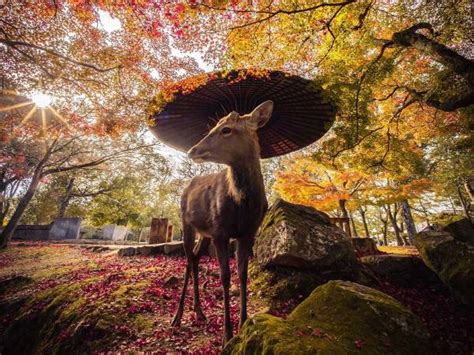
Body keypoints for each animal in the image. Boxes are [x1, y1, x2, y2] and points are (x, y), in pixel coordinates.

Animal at [170, 101, 274, 348]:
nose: (192, 150)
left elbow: (243, 274)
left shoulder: (247, 234)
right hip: (186, 223)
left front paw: (243, 324)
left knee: (194, 258)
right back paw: (178, 316)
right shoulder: (220, 232)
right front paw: (226, 334)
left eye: (226, 129)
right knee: (188, 260)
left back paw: (199, 311)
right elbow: (225, 277)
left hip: (204, 233)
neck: (243, 204)